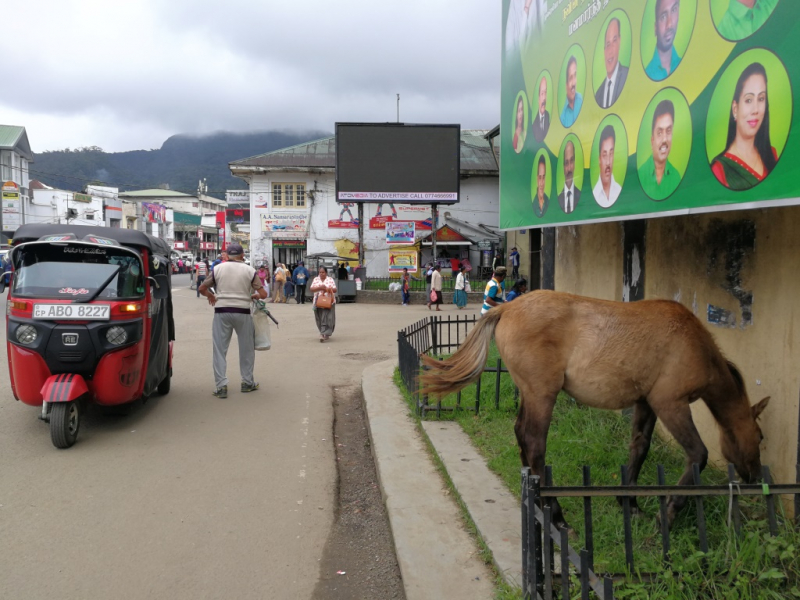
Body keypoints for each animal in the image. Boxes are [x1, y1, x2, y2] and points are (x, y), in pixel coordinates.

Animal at [418, 292, 768, 528]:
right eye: (761, 436)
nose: (753, 478)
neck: (695, 344)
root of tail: (507, 307)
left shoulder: (646, 403)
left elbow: (639, 448)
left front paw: (631, 504)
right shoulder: (671, 404)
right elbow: (698, 454)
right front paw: (667, 513)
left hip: (531, 393)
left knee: (520, 434)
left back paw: (535, 501)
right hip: (543, 394)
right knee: (534, 442)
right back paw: (555, 513)